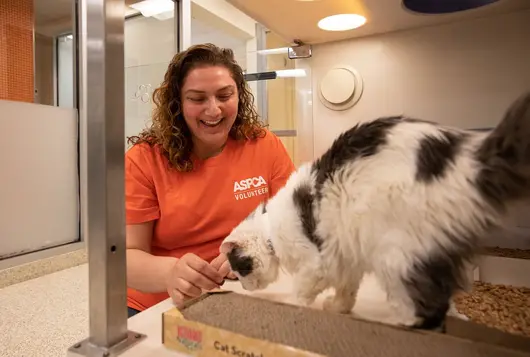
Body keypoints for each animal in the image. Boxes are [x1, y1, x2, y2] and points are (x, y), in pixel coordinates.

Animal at [219, 90, 528, 330]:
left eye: (238, 270)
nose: (243, 287)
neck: (271, 231)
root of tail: (467, 156)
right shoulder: (344, 257)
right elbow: (347, 291)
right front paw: (338, 308)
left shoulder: (316, 264)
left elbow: (302, 293)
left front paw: (299, 307)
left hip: (397, 254)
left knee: (424, 311)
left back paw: (395, 323)